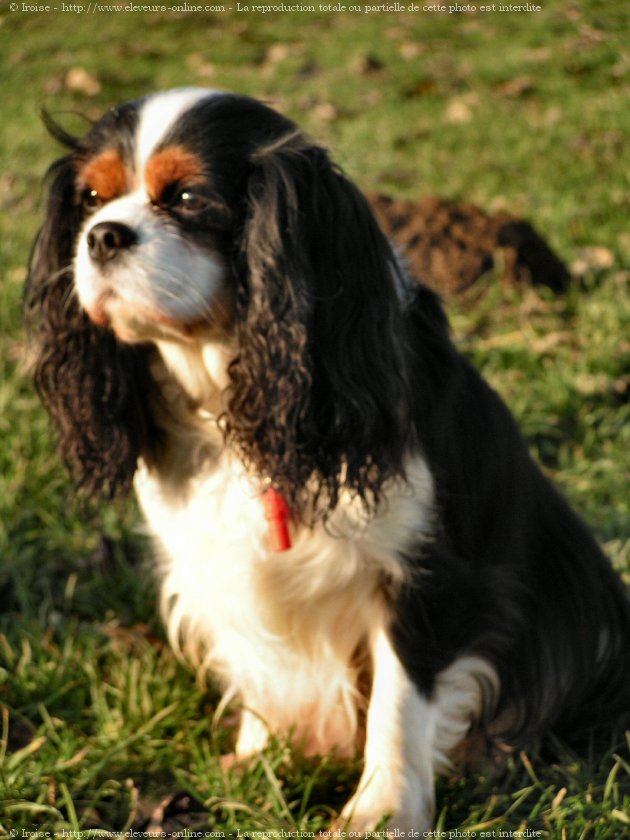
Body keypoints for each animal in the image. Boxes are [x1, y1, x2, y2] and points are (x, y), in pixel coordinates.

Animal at [25, 88, 630, 832]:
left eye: (189, 197)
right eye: (91, 197)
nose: (103, 235)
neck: (234, 396)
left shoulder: (428, 575)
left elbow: (401, 703)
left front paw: (382, 811)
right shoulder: (219, 563)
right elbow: (257, 657)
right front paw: (259, 758)